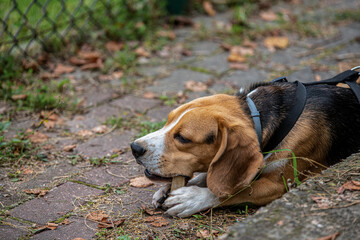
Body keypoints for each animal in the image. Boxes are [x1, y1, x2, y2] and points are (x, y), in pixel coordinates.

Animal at [131, 79, 360, 218]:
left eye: (183, 138)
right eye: (168, 121)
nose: (134, 147)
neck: (258, 114)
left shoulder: (278, 185)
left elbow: (235, 191)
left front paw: (192, 198)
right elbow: (210, 175)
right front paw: (167, 190)